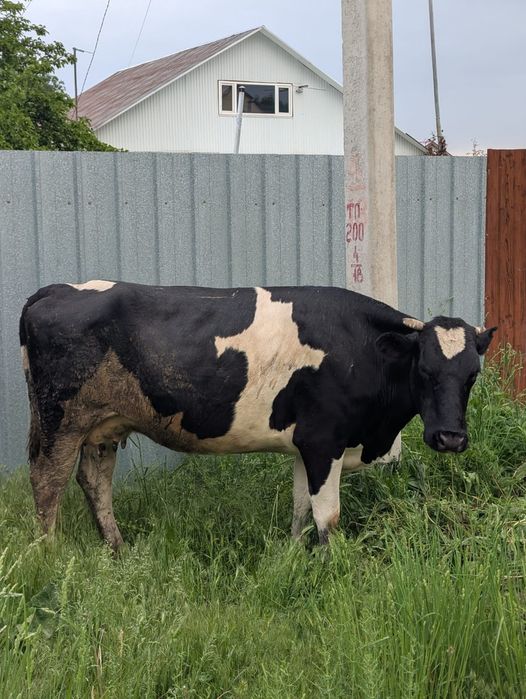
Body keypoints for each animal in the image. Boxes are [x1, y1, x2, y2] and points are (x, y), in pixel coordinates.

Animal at [19, 281, 496, 550]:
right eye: (424, 371)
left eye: (471, 375)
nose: (450, 438)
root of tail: (57, 288)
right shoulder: (324, 442)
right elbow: (327, 516)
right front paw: (332, 567)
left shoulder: (305, 446)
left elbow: (301, 508)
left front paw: (292, 556)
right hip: (59, 418)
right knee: (47, 485)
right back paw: (51, 556)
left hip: (103, 425)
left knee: (94, 483)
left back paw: (117, 550)